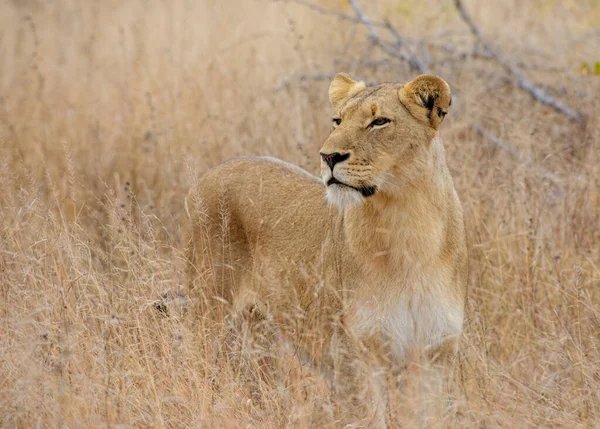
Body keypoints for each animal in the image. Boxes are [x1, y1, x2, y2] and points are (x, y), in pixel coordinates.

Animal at [185, 72, 466, 424]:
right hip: (209, 309)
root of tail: (210, 172)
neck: (409, 228)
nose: (329, 157)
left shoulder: (434, 355)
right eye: (338, 120)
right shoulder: (358, 355)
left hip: (263, 329)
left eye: (379, 122)